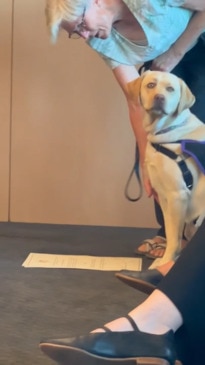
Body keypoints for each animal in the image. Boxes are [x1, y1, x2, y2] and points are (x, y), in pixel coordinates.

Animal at [127, 70, 205, 268]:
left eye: (170, 89)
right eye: (151, 85)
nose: (159, 98)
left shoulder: (178, 195)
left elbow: (175, 238)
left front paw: (165, 262)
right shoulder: (163, 196)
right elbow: (170, 234)